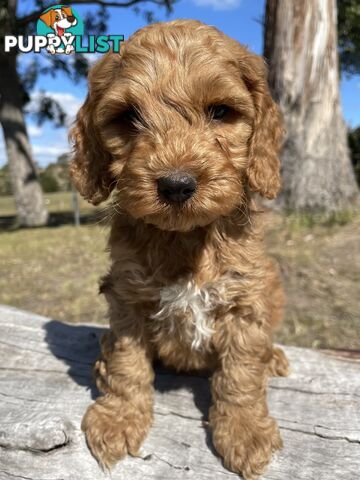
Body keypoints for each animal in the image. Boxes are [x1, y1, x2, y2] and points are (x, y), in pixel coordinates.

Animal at [69, 19, 290, 480]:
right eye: (129, 117)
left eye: (220, 112)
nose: (175, 185)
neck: (187, 239)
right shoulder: (126, 295)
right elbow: (127, 362)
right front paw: (118, 417)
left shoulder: (245, 297)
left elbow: (241, 371)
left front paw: (245, 431)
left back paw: (274, 357)